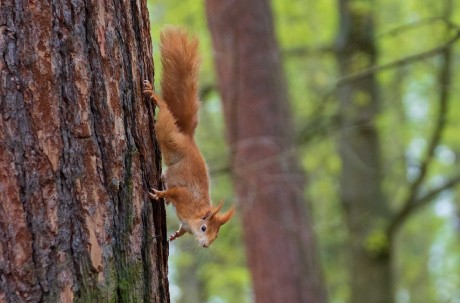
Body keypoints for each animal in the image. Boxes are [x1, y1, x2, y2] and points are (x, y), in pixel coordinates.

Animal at [143, 26, 235, 249]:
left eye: (215, 236)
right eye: (203, 228)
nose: (205, 245)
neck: (195, 213)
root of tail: (188, 138)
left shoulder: (186, 223)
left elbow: (182, 230)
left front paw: (174, 236)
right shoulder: (185, 197)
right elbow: (175, 192)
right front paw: (160, 194)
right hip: (170, 137)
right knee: (165, 117)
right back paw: (155, 97)